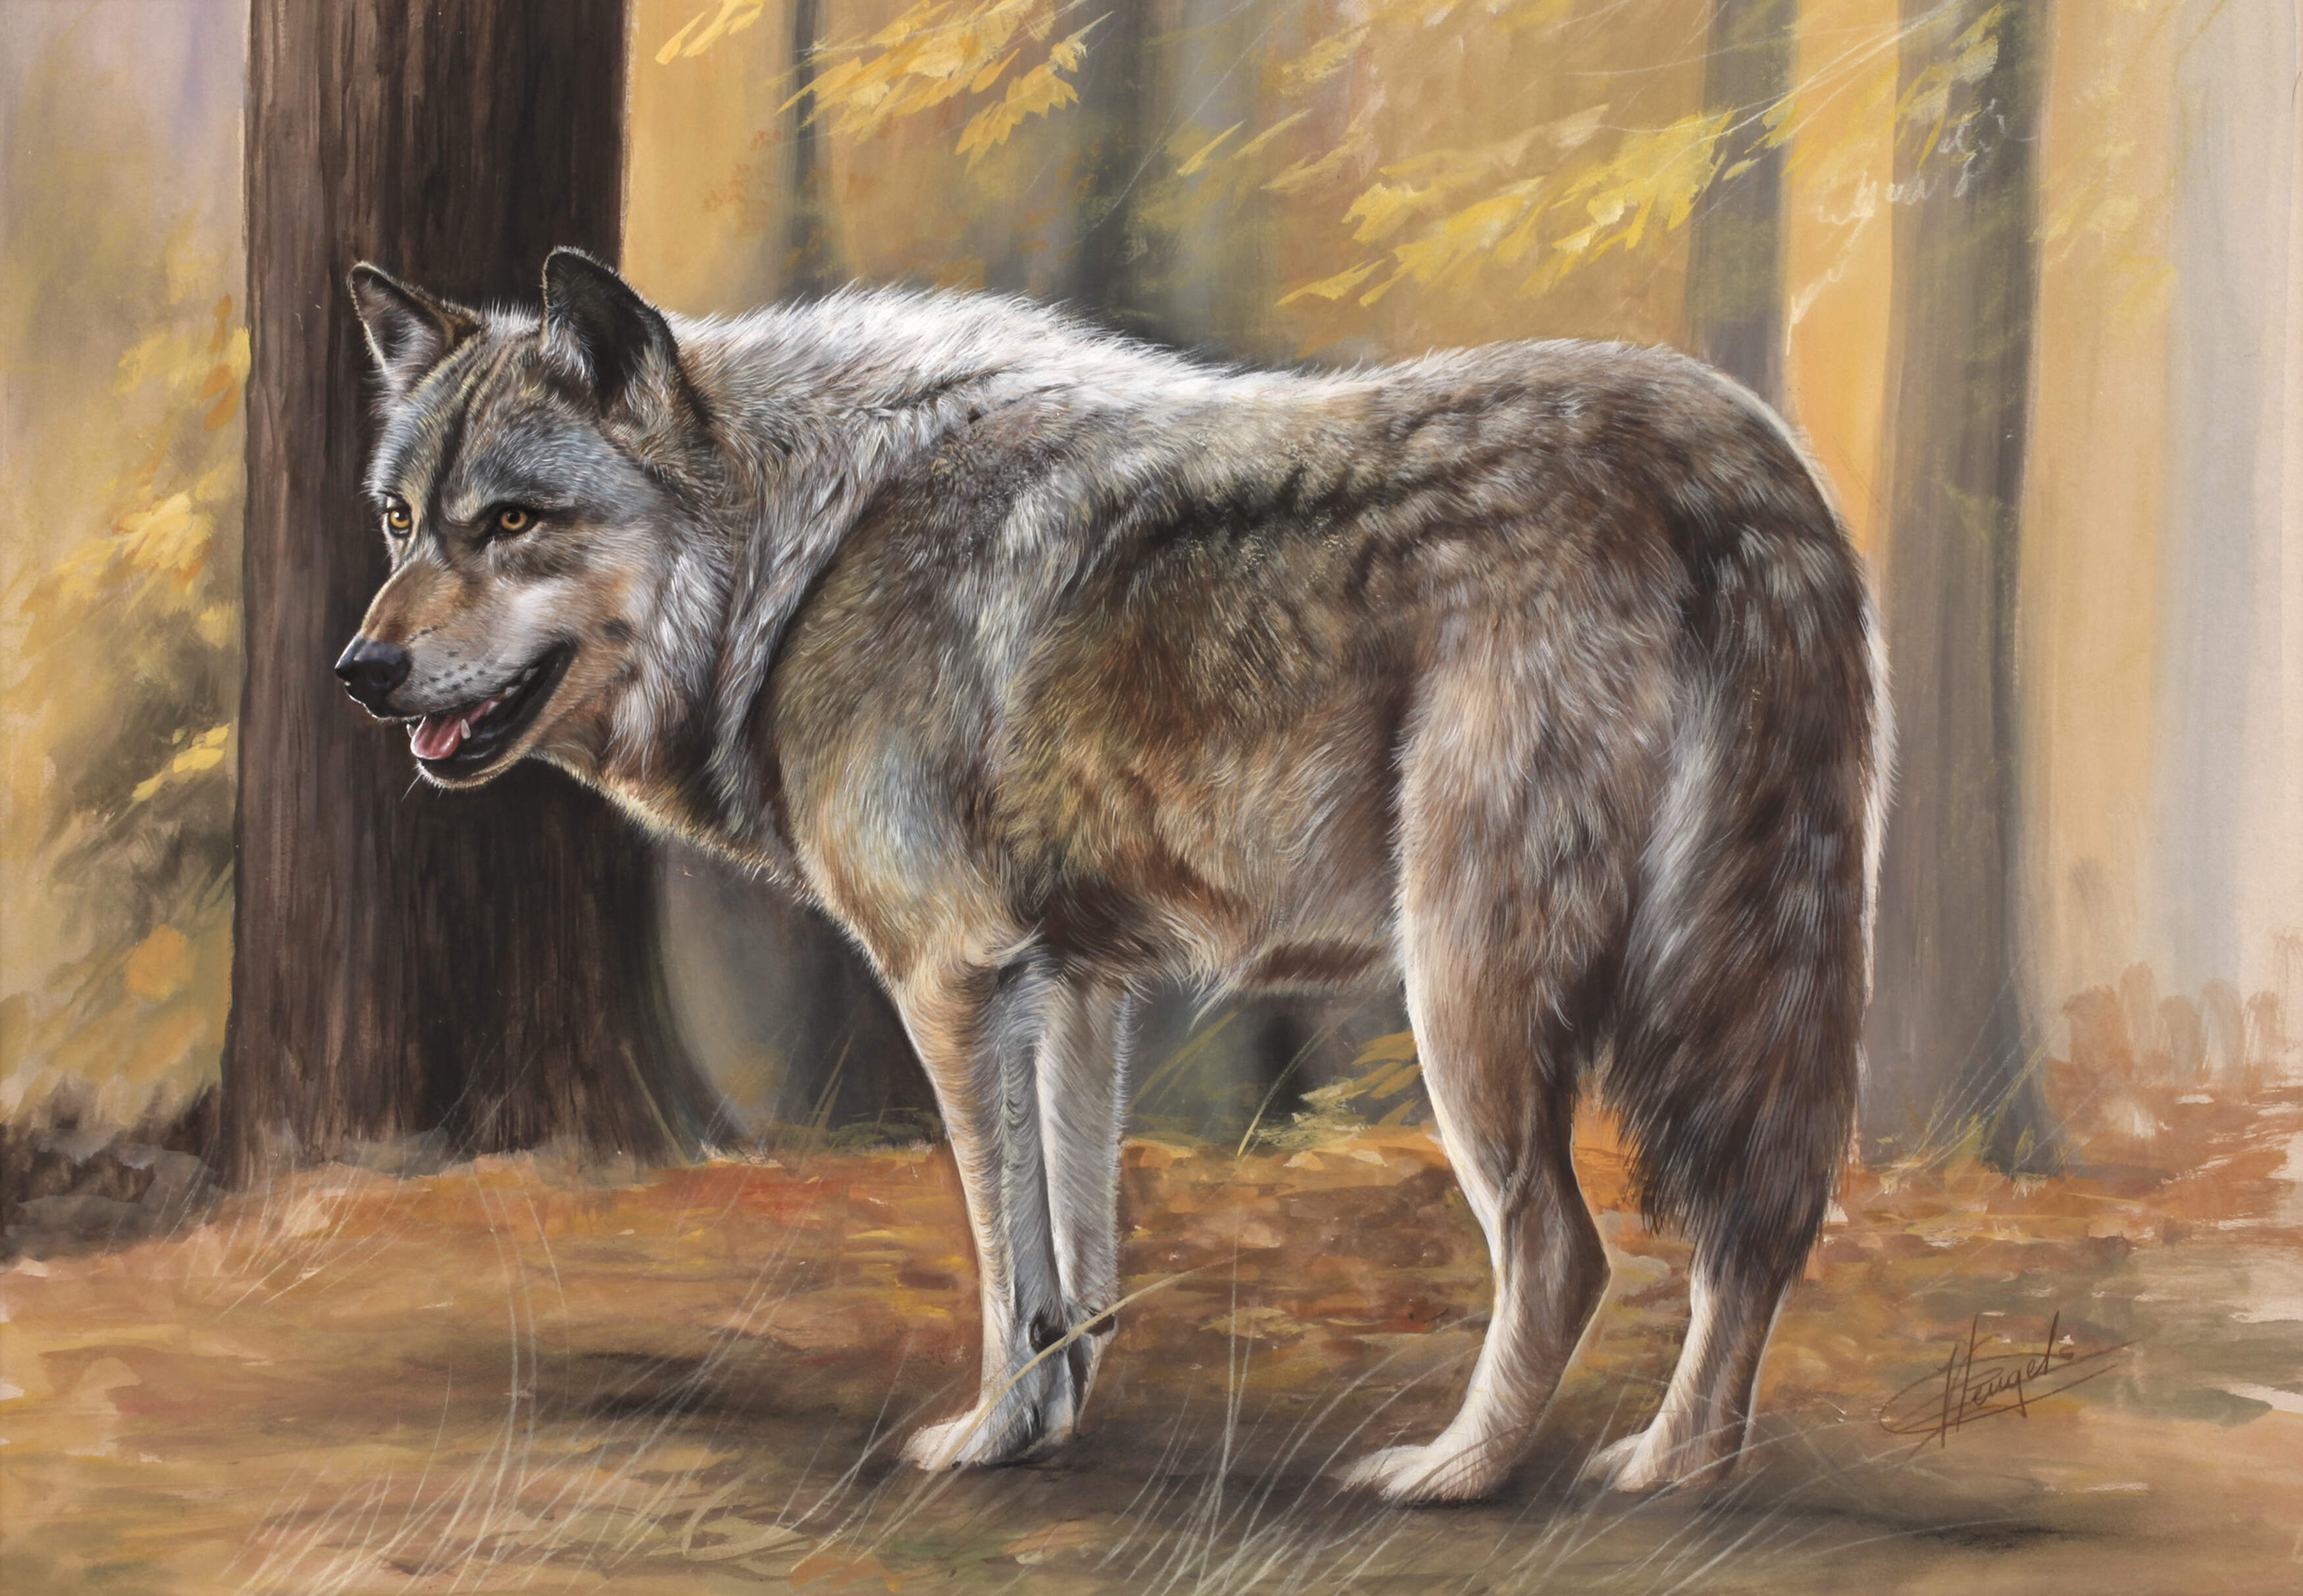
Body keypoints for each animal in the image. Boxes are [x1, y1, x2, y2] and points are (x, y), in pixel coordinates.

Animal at [335, 248, 1886, 1504]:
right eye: (403, 520)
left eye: (513, 521)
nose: (359, 671)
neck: (804, 556)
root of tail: (1742, 463)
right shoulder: (1076, 987)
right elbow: (1073, 1262)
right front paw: (1050, 1425)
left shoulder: (952, 980)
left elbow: (1000, 1256)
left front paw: (986, 1438)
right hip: (1720, 982)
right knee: (1757, 1224)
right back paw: (1682, 1468)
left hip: (1468, 999)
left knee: (1567, 1251)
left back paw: (1460, 1473)